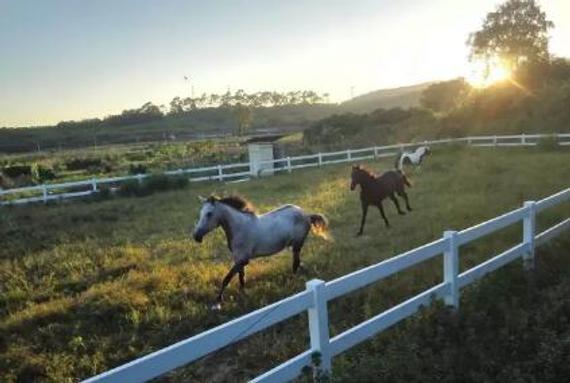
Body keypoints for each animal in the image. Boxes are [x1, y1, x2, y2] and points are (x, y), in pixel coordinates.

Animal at [191, 196, 326, 308]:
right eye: (200, 213)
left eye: (209, 213)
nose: (196, 236)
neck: (240, 227)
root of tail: (306, 215)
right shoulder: (239, 260)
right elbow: (241, 278)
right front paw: (243, 295)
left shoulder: (242, 260)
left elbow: (226, 279)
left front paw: (218, 302)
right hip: (296, 246)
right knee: (298, 263)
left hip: (297, 245)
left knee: (296, 263)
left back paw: (293, 281)